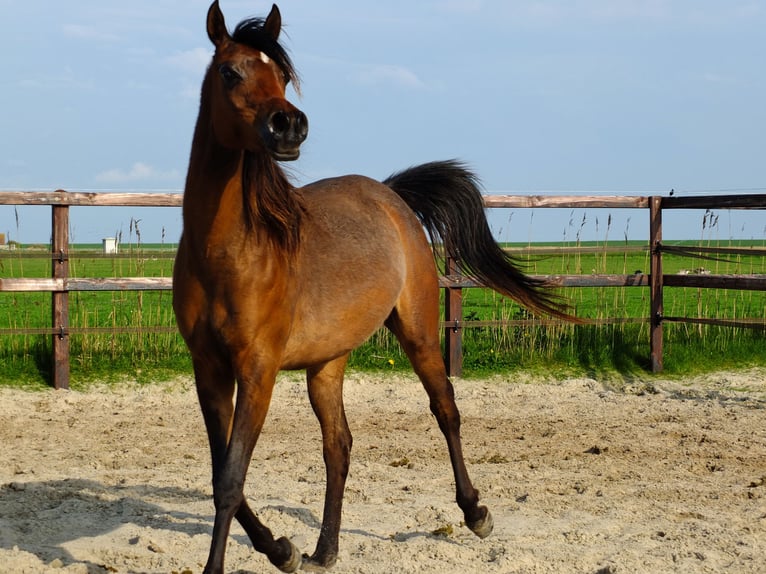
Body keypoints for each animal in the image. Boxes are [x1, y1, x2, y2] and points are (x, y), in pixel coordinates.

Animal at [172, 2, 568, 572]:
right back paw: (324, 549)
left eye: (283, 76)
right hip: (326, 363)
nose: (289, 126)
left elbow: (230, 479)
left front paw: (246, 558)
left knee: (446, 411)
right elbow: (223, 473)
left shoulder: (257, 370)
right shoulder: (208, 369)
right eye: (230, 72)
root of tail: (390, 195)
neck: (228, 252)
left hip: (419, 332)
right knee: (338, 445)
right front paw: (283, 549)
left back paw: (475, 514)